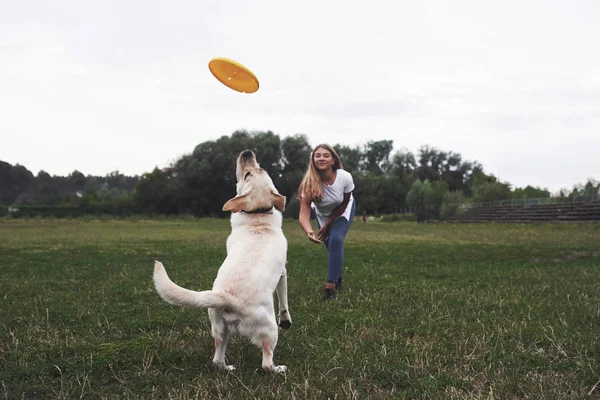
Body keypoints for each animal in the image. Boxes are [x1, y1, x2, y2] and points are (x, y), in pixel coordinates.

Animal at [151, 149, 290, 372]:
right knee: (266, 363)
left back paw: (228, 368)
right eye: (248, 174)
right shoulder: (283, 273)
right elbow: (284, 301)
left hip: (219, 329)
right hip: (269, 330)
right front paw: (286, 320)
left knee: (217, 360)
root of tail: (227, 298)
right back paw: (279, 369)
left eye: (259, 169)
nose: (247, 152)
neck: (258, 217)